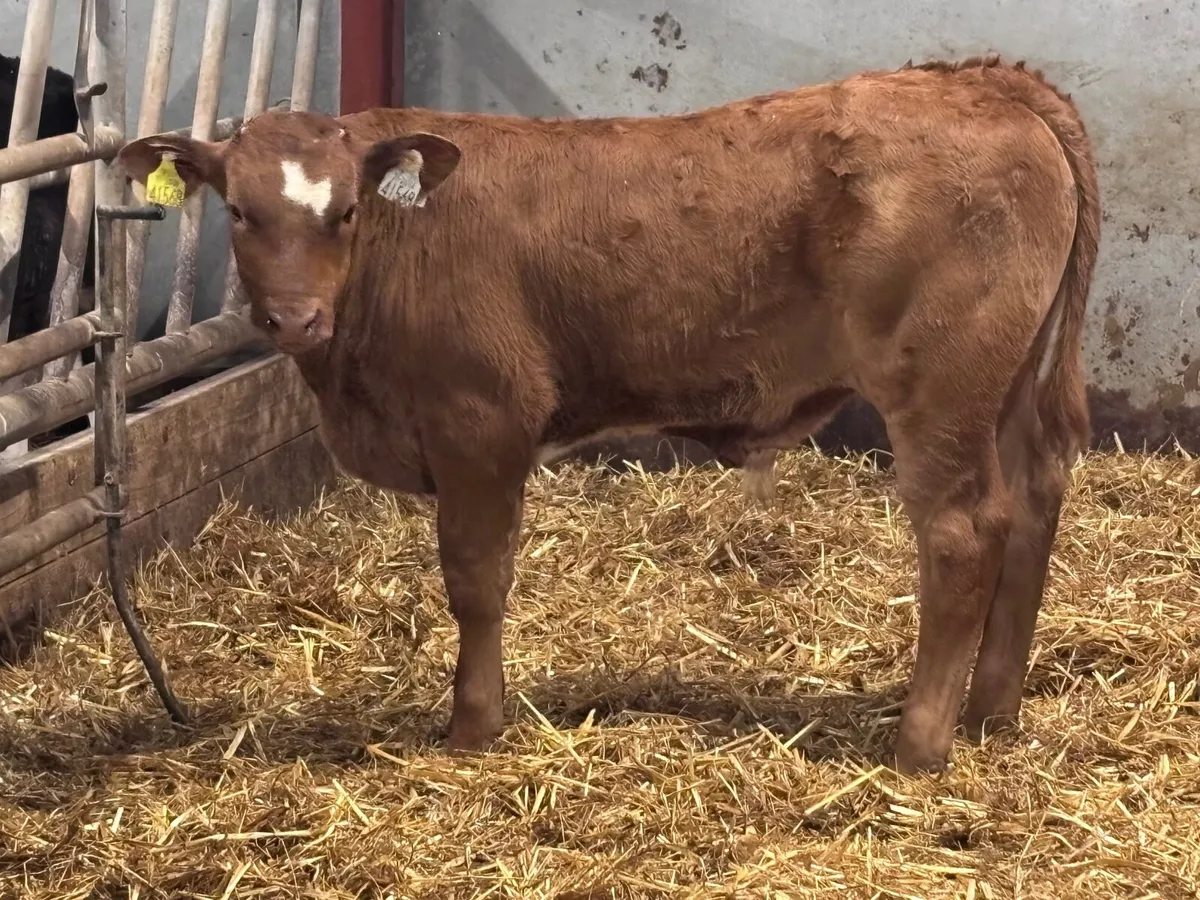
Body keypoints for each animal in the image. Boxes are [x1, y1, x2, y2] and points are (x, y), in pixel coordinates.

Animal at [116, 55, 1100, 774]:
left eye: (348, 210)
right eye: (239, 211)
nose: (293, 319)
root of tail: (976, 77)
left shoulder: (482, 422)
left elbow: (476, 579)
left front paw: (473, 726)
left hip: (939, 391)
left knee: (963, 534)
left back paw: (921, 742)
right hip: (1010, 389)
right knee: (1032, 504)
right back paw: (991, 711)